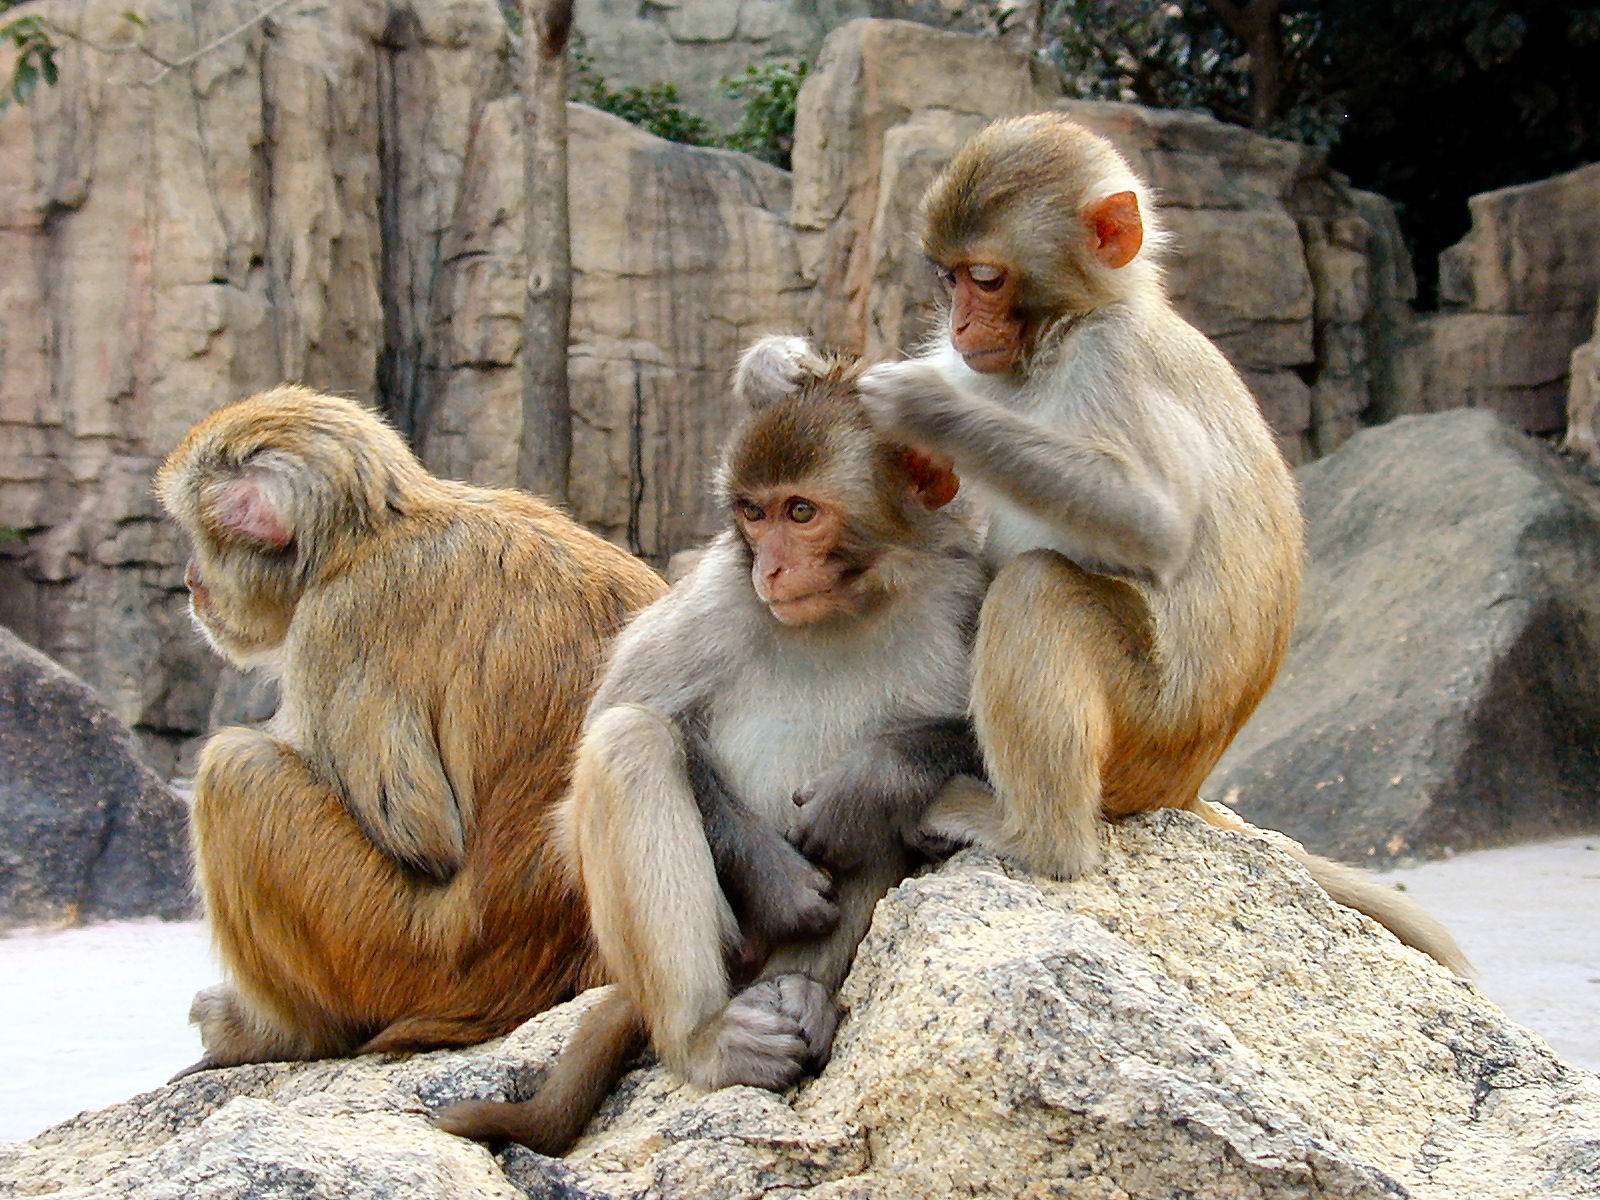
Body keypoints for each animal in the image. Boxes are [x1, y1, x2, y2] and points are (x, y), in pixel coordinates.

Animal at [157, 385, 668, 1068]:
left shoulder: (337, 620)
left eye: (198, 534)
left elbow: (421, 835)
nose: (190, 581)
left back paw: (282, 1033)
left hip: (402, 957)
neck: (372, 532)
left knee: (236, 771)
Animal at [438, 342, 985, 1158]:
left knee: (880, 826)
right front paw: (778, 880)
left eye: (801, 511)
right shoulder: (717, 598)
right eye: (753, 514)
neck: (853, 607)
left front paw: (871, 778)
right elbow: (614, 730)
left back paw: (802, 991)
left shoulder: (960, 595)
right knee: (629, 744)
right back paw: (705, 1037)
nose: (771, 568)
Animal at [844, 112, 1465, 979]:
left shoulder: (1112, 361)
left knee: (1039, 589)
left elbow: (1153, 524)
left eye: (988, 280)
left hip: (1146, 734)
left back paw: (1037, 839)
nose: (961, 325)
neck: (1061, 335)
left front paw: (924, 405)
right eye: (949, 280)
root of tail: (1186, 787)